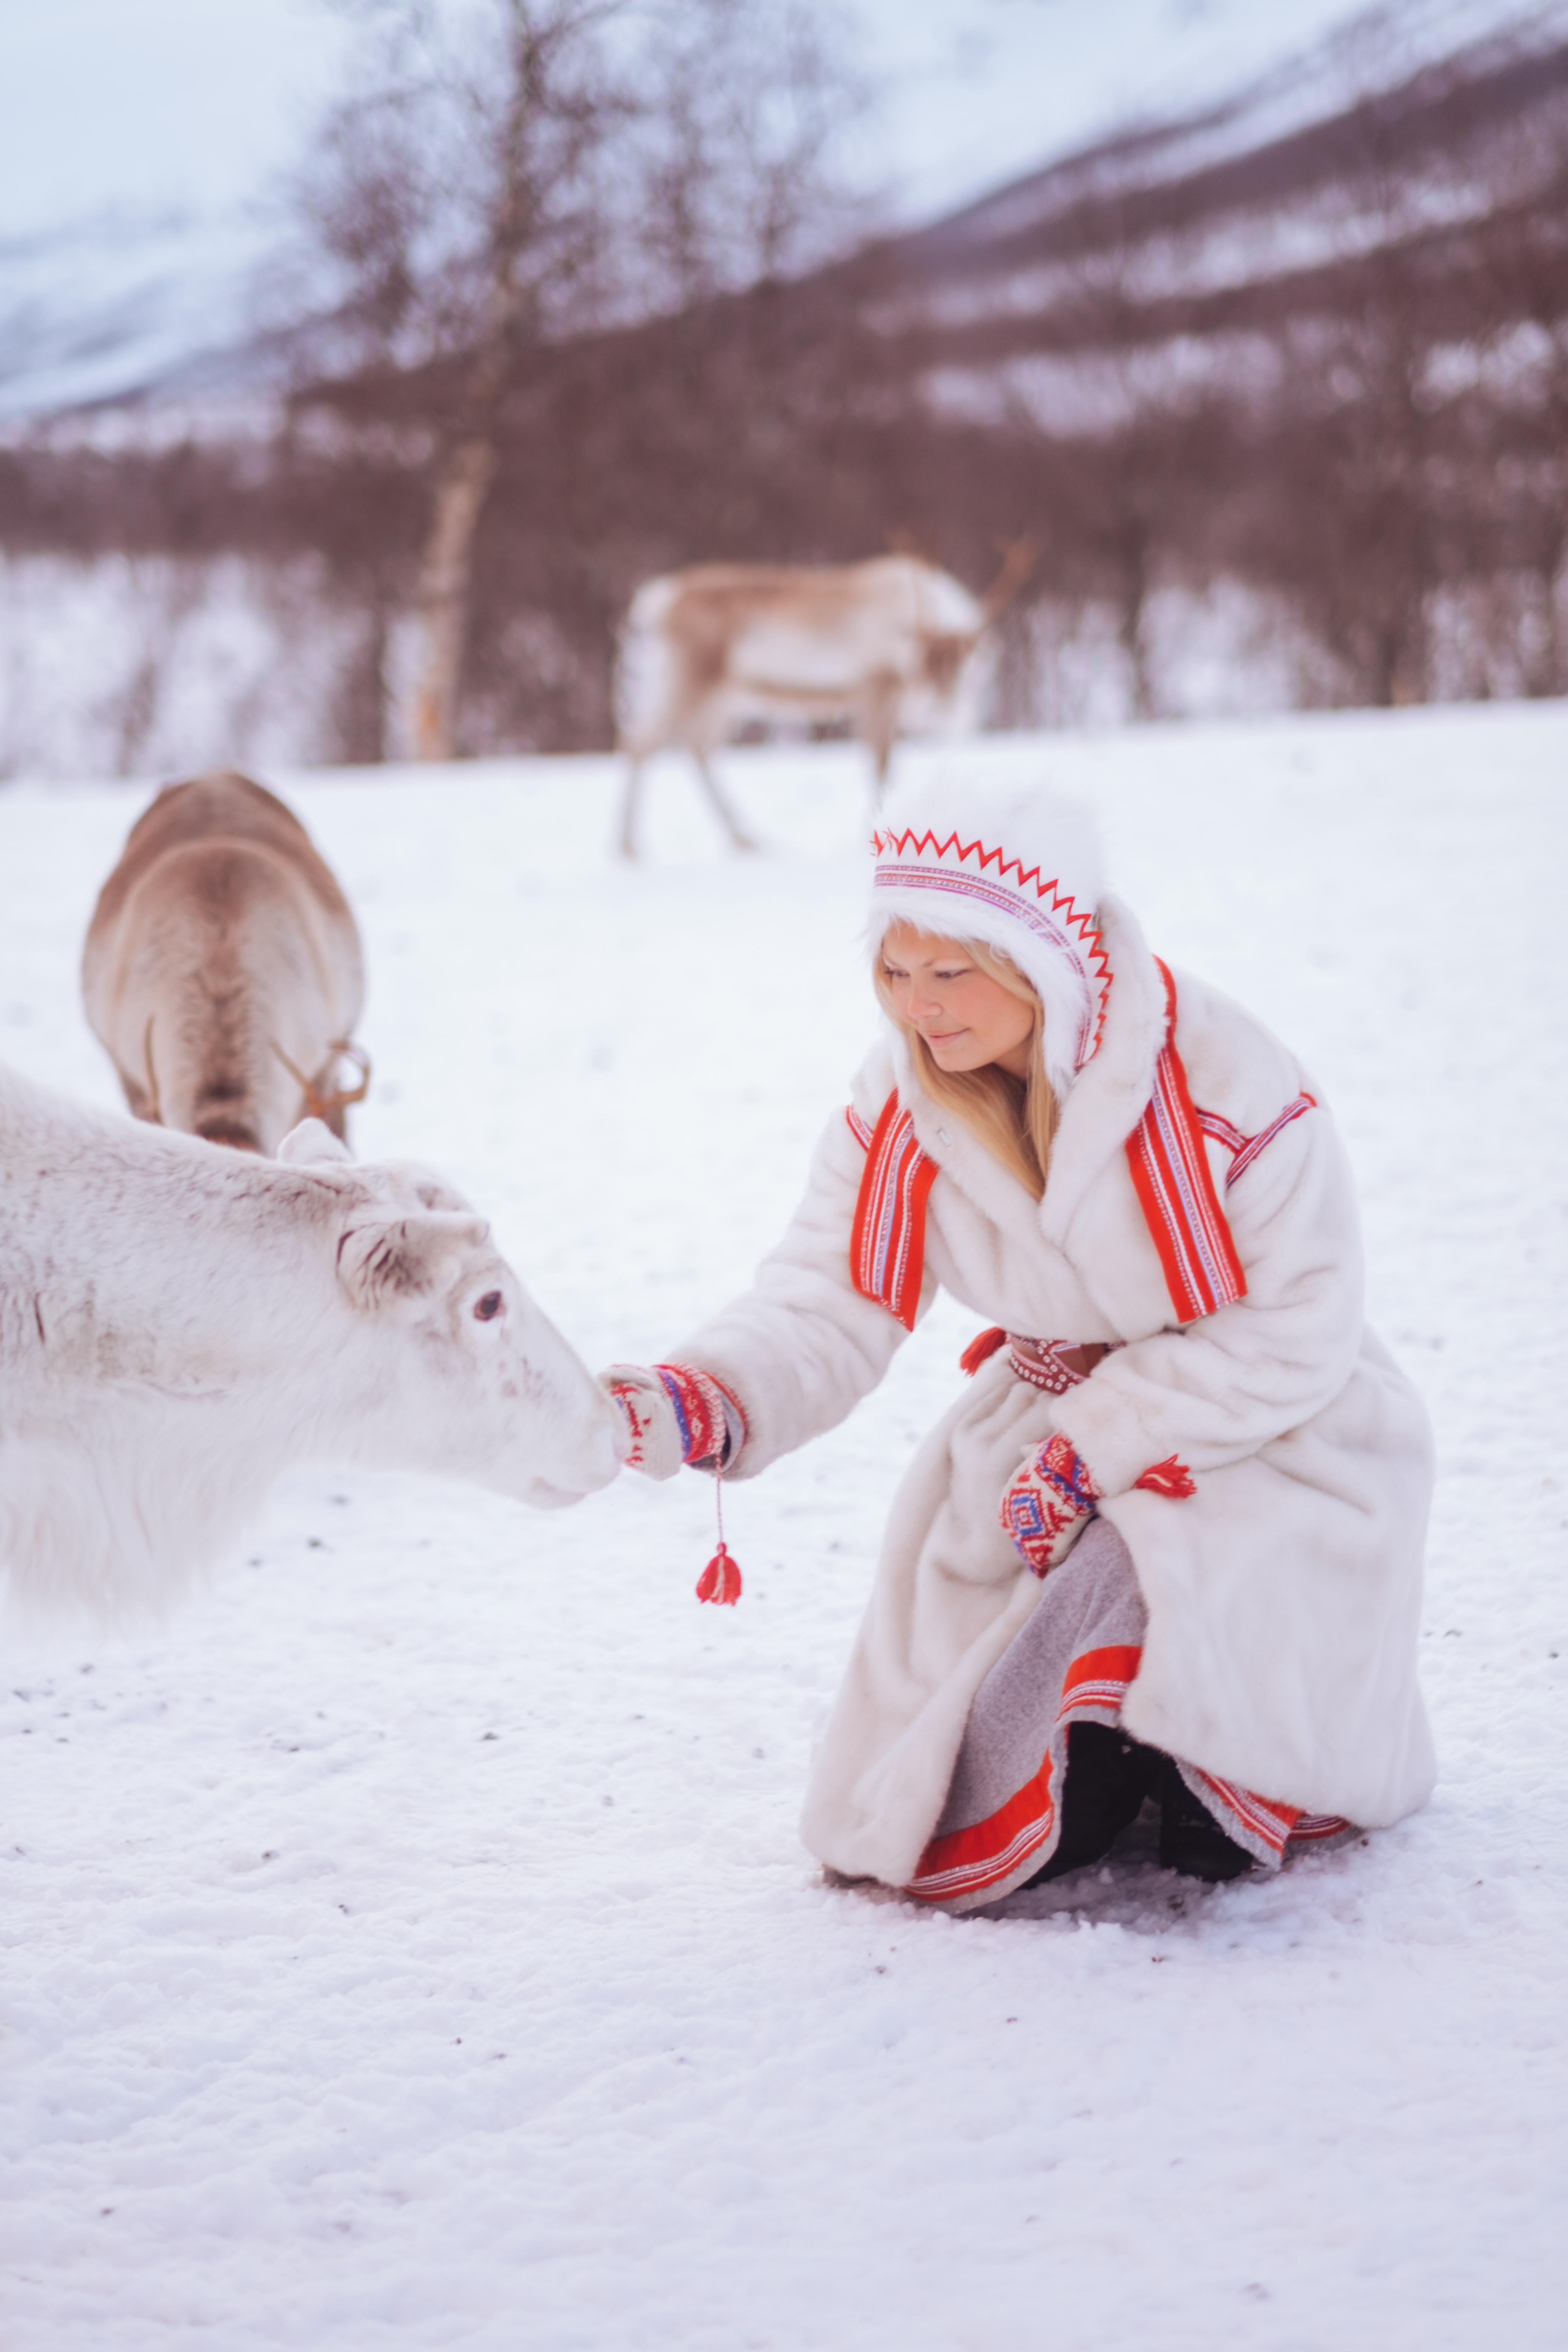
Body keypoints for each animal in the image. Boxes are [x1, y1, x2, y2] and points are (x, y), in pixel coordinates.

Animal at [614, 544, 1038, 859]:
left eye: (962, 662)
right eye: (921, 663)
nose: (935, 709)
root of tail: (658, 602)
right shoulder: (876, 689)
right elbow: (880, 764)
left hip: (725, 695)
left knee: (694, 746)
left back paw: (744, 840)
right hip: (688, 678)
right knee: (643, 743)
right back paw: (629, 848)